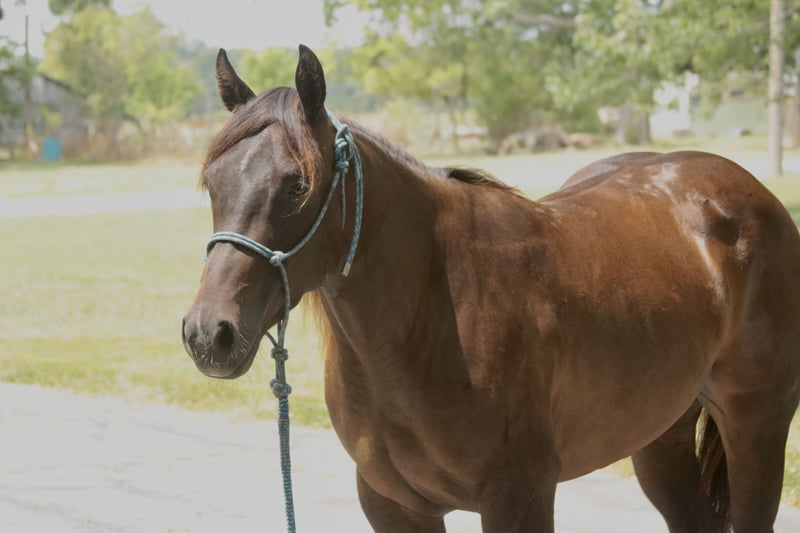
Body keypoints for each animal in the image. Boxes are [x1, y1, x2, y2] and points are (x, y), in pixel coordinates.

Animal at [182, 45, 800, 532]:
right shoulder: (395, 506)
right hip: (659, 435)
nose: (209, 334)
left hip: (757, 426)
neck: (430, 320)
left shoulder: (518, 498)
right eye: (212, 180)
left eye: (296, 185)